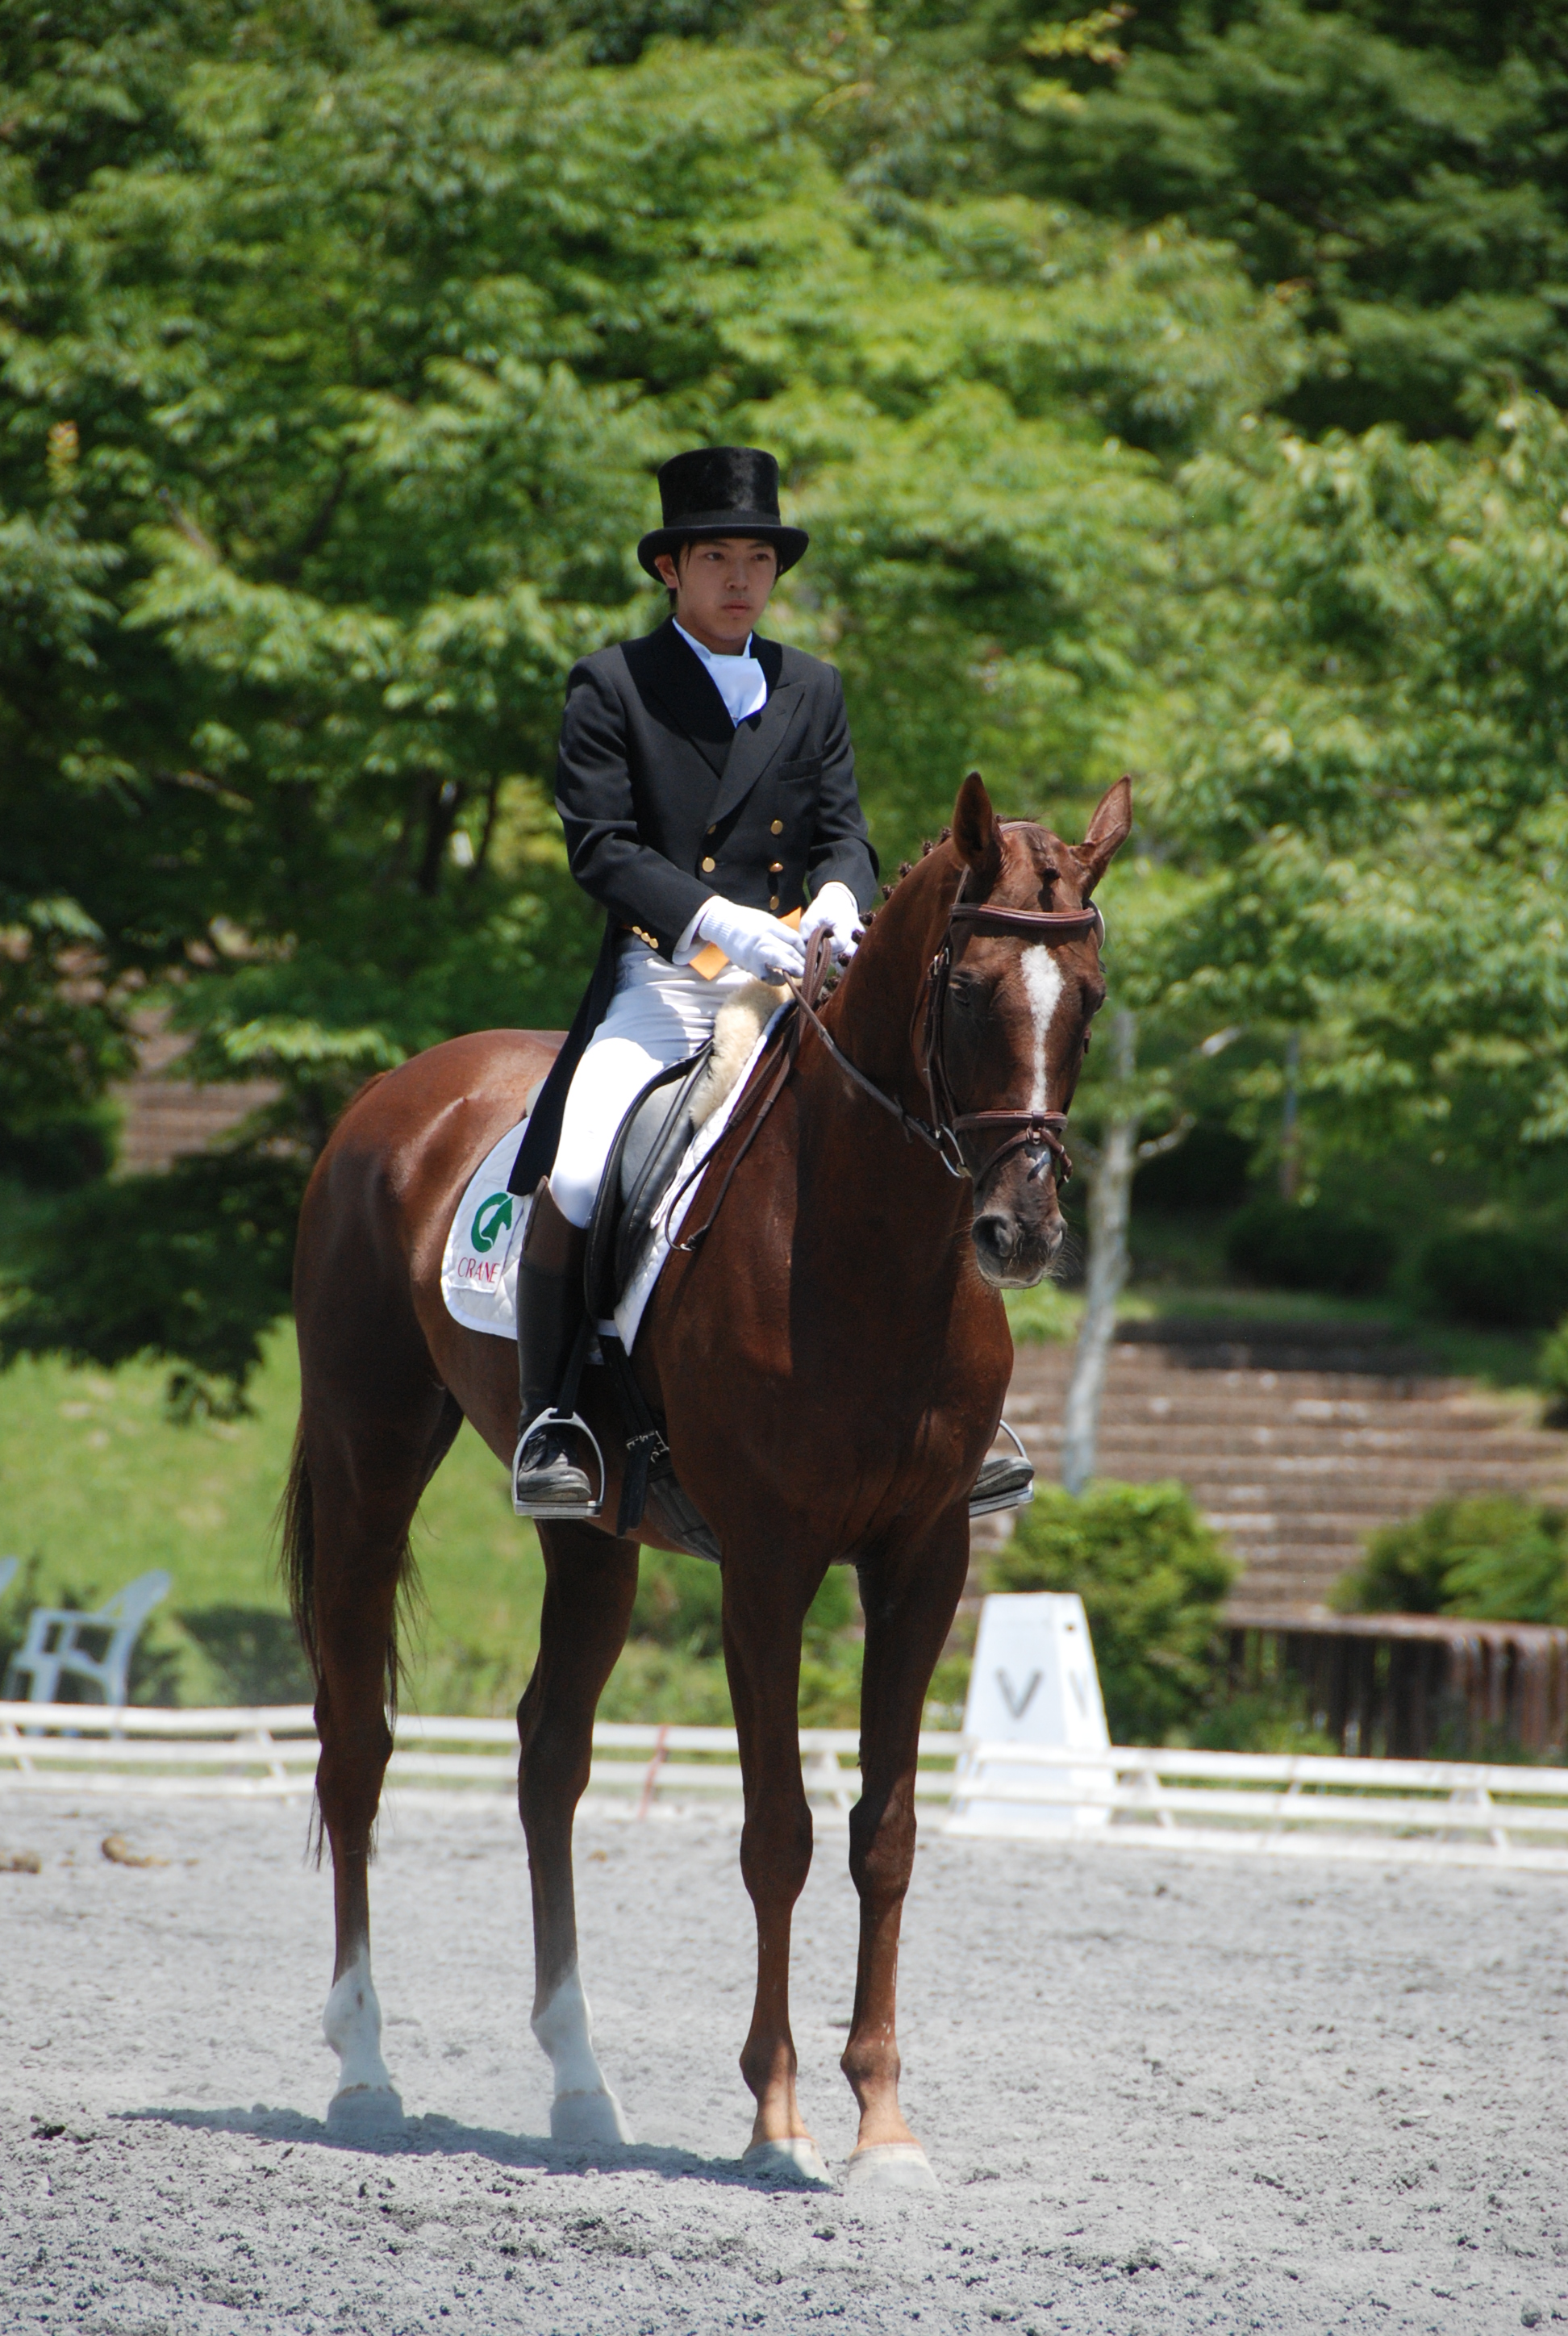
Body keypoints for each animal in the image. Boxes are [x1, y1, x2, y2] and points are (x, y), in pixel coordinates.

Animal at [275, 775, 1121, 2177]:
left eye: (1091, 1000)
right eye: (965, 990)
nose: (1023, 1230)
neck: (874, 1244)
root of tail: (400, 1090)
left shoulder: (924, 1558)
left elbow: (886, 1835)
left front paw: (884, 2125)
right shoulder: (769, 1561)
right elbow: (777, 1831)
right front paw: (777, 2120)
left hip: (593, 1535)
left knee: (548, 1761)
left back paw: (579, 2087)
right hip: (367, 1454)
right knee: (358, 1745)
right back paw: (361, 2068)